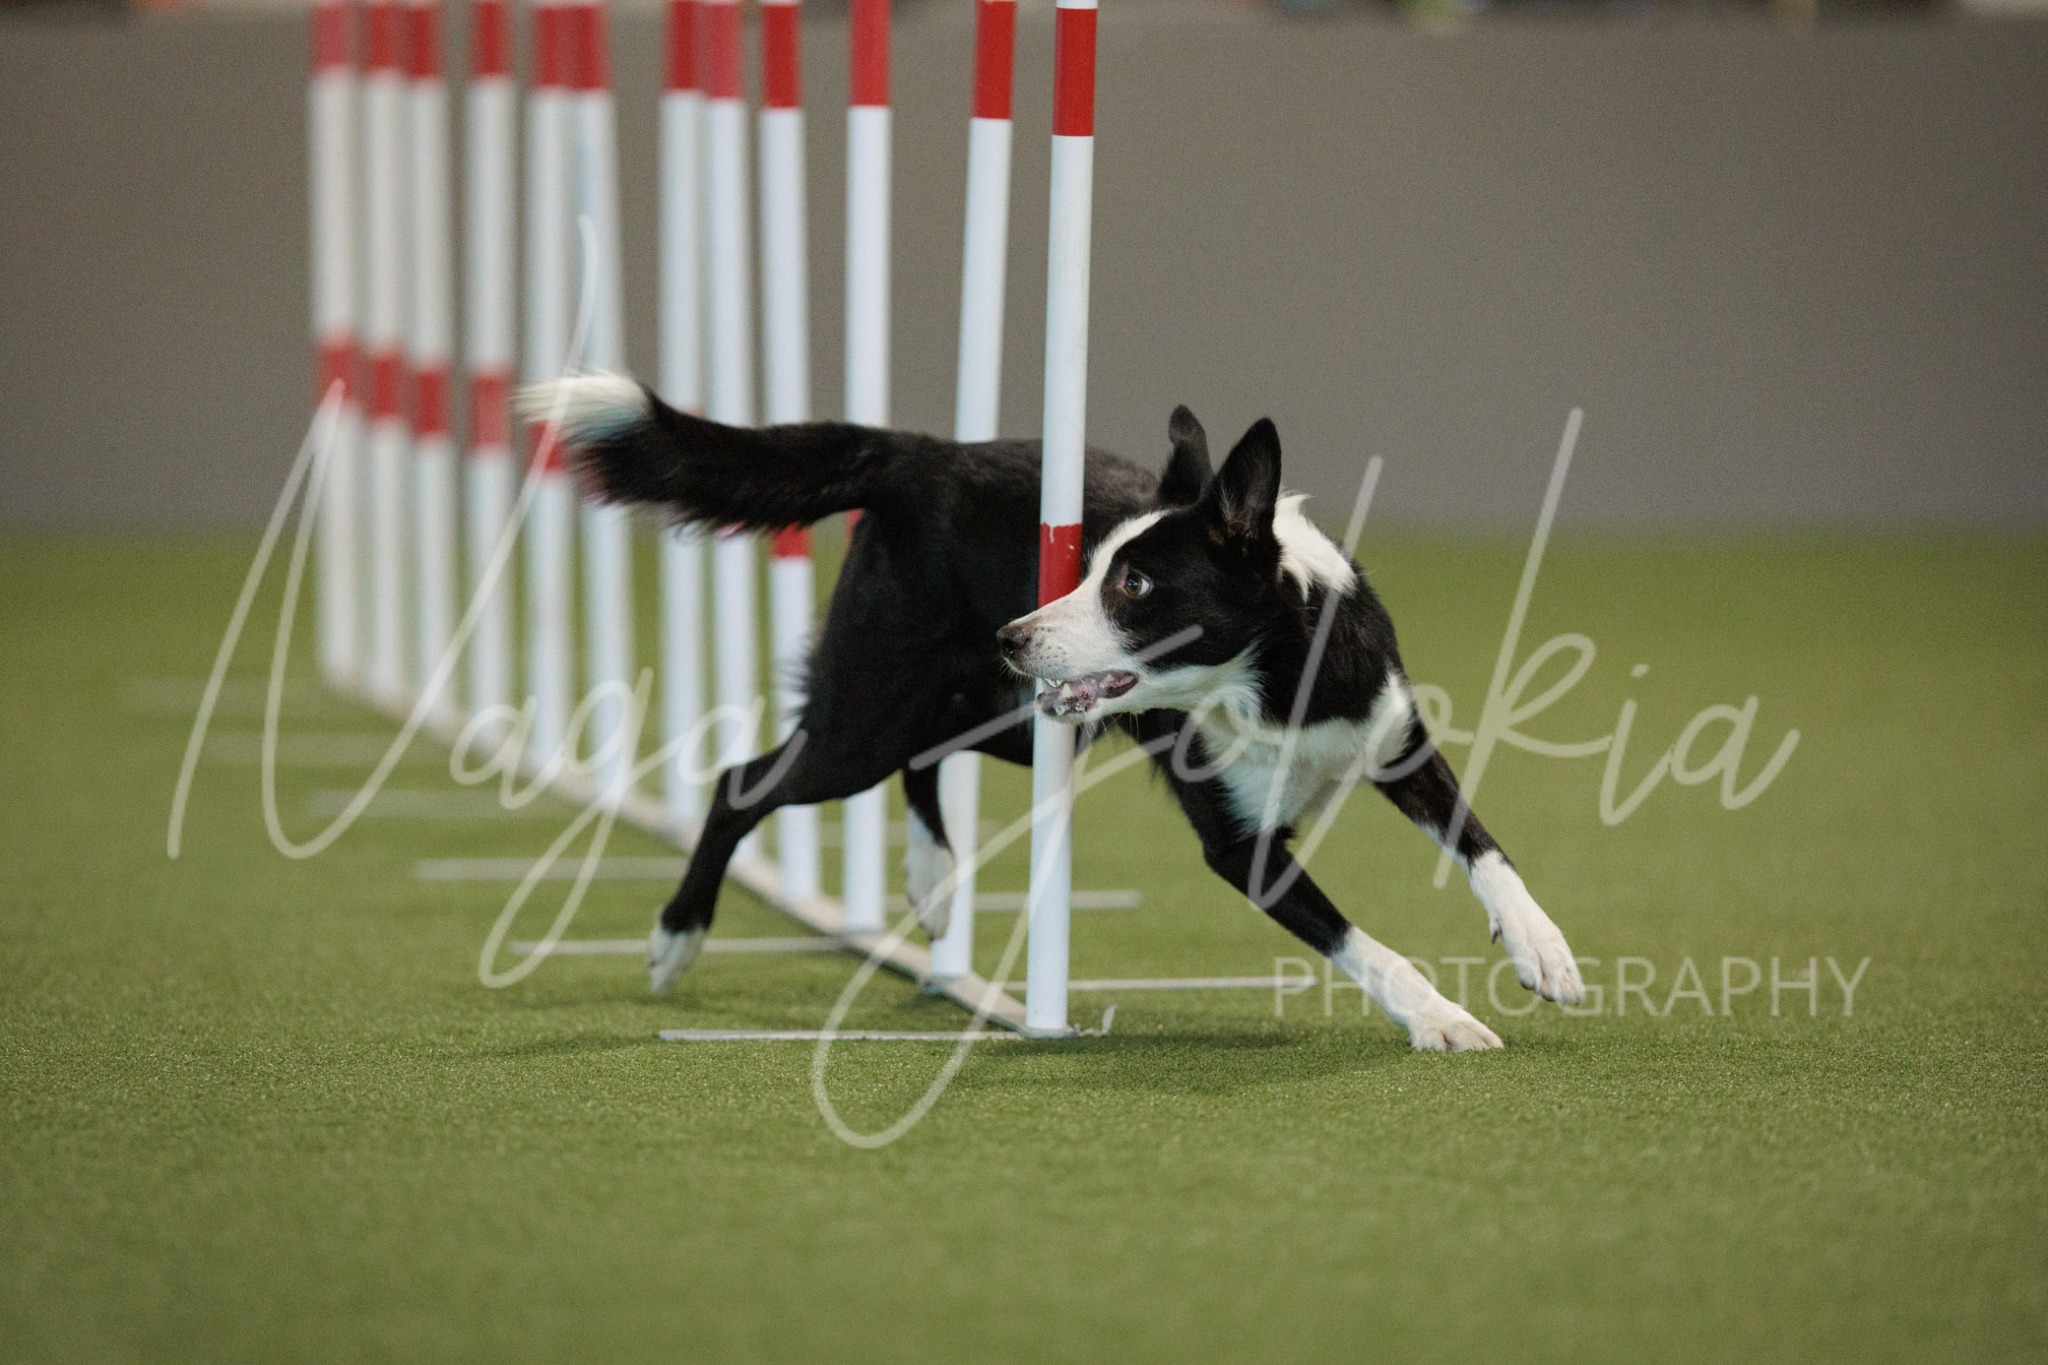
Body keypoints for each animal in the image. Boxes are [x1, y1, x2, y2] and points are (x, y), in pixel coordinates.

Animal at [523, 373, 1583, 1050]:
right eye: (1091, 565)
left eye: (1134, 582)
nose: (1017, 634)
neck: (1272, 681)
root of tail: (921, 454)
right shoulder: (1240, 850)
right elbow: (1360, 941)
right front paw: (1441, 1017)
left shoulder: (1392, 736)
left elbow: (1482, 843)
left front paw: (1545, 949)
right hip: (878, 709)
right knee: (746, 782)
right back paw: (678, 937)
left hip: (1011, 721)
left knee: (926, 752)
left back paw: (934, 877)